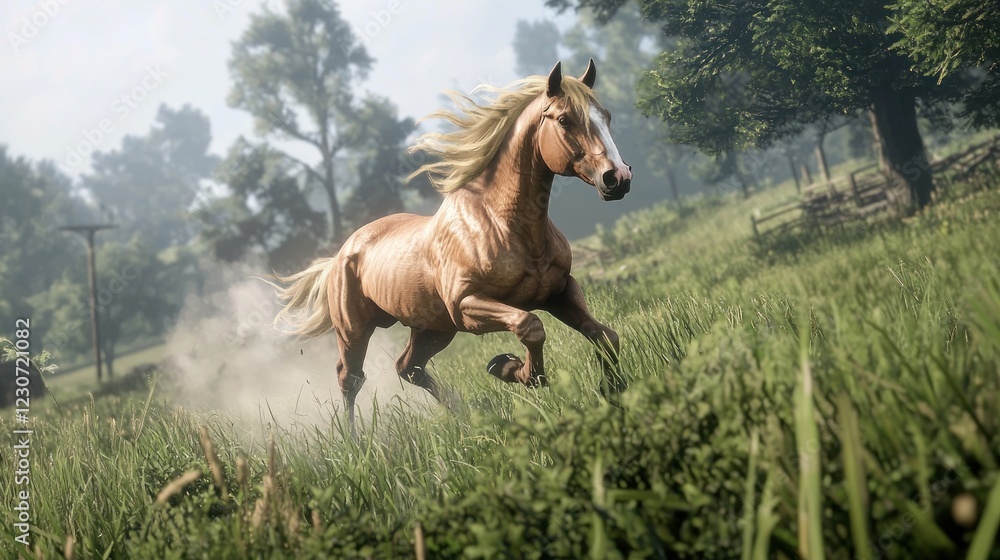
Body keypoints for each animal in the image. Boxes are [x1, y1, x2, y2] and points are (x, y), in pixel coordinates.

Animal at [273, 60, 632, 433]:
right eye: (564, 120)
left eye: (606, 115)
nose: (617, 178)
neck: (503, 225)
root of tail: (339, 256)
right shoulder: (467, 306)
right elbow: (529, 326)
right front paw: (509, 368)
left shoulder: (560, 292)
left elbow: (606, 337)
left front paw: (613, 392)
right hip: (355, 332)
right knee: (351, 378)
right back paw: (355, 440)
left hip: (433, 329)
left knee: (407, 367)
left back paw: (466, 414)